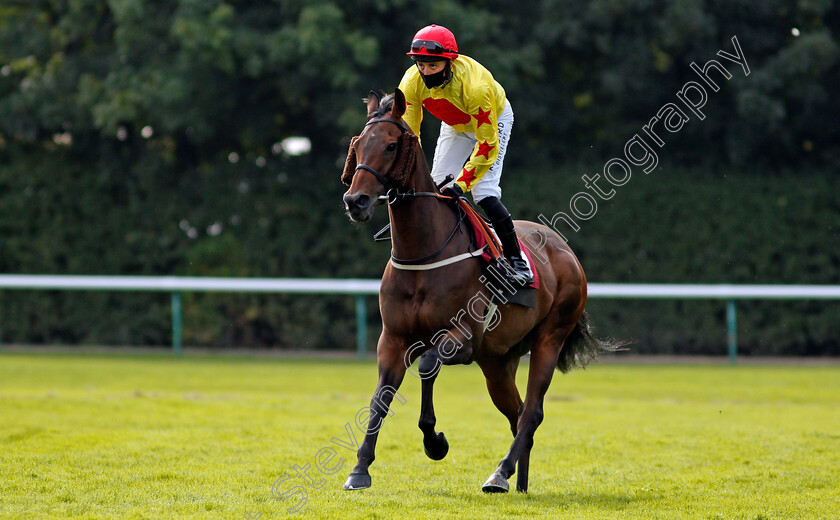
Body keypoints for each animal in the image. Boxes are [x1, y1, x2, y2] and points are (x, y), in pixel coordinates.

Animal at [342, 88, 612, 492]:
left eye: (390, 145)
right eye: (358, 145)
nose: (355, 201)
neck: (424, 252)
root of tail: (564, 250)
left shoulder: (465, 337)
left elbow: (428, 364)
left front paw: (435, 442)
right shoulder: (392, 338)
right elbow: (380, 398)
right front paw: (360, 469)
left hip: (549, 337)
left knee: (532, 412)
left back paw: (500, 473)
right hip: (498, 361)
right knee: (517, 412)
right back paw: (518, 481)